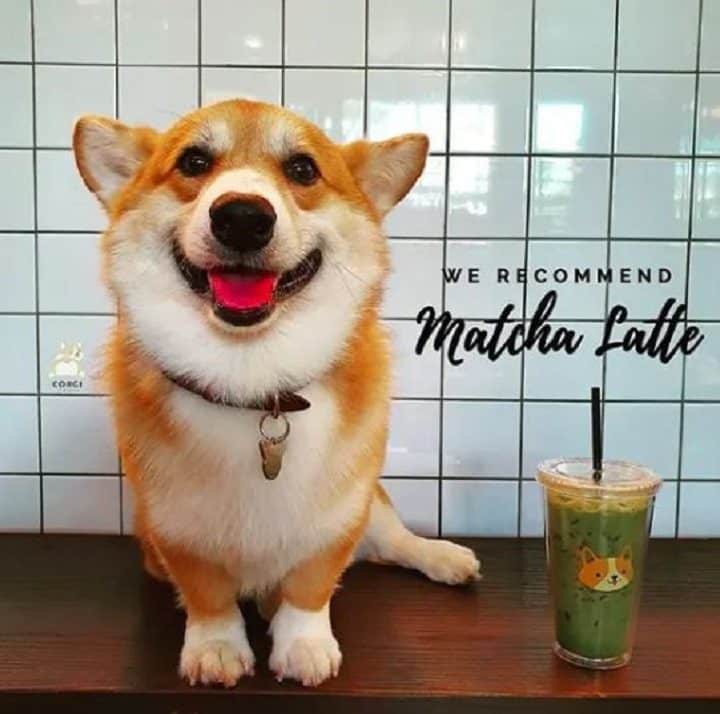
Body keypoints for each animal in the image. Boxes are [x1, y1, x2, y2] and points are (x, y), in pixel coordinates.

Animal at [72, 99, 480, 688]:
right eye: (194, 161)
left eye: (303, 169)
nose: (243, 217)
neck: (254, 380)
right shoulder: (175, 525)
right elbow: (208, 596)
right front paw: (217, 649)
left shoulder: (340, 512)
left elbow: (312, 586)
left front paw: (305, 645)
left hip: (375, 509)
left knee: (391, 541)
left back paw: (444, 557)